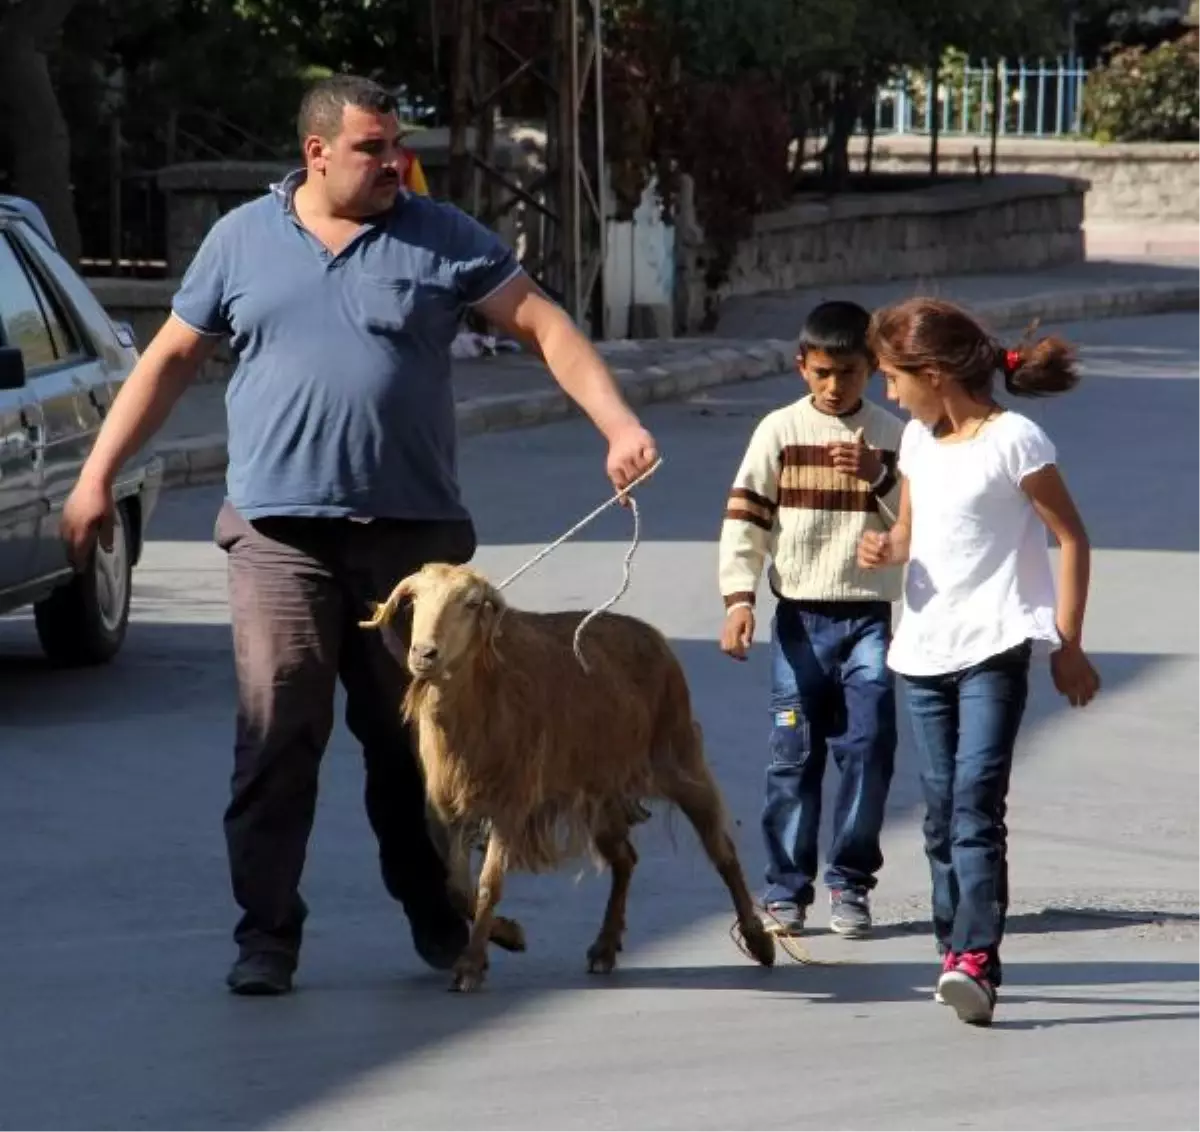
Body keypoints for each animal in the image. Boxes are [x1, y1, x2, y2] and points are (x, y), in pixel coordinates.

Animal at [355, 561, 772, 989]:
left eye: (470, 603)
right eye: (415, 601)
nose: (425, 653)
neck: (484, 698)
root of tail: (653, 636)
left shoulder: (512, 803)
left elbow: (489, 884)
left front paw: (471, 965)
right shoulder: (445, 807)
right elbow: (456, 888)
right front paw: (507, 936)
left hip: (677, 756)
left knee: (721, 848)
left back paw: (758, 940)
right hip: (600, 790)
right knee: (625, 859)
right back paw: (604, 947)